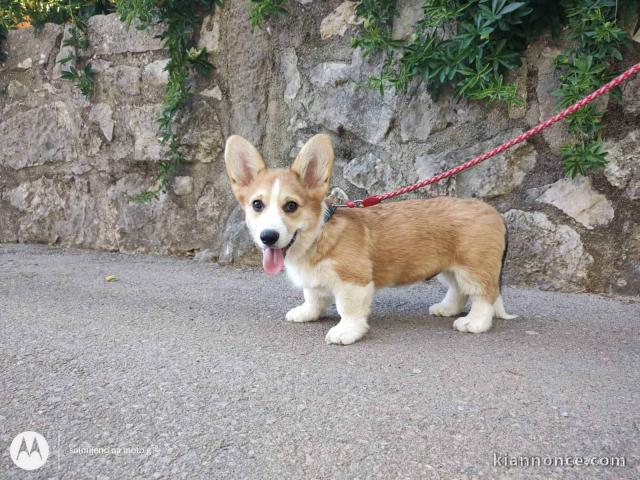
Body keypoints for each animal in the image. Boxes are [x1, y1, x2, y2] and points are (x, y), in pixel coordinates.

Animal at [224, 134, 516, 344]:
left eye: (291, 206)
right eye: (257, 205)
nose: (268, 237)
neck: (318, 236)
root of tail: (494, 213)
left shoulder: (354, 281)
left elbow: (349, 310)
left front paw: (346, 332)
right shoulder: (316, 282)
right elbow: (313, 297)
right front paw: (306, 313)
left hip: (473, 268)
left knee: (485, 296)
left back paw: (474, 323)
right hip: (450, 268)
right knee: (459, 290)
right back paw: (446, 309)